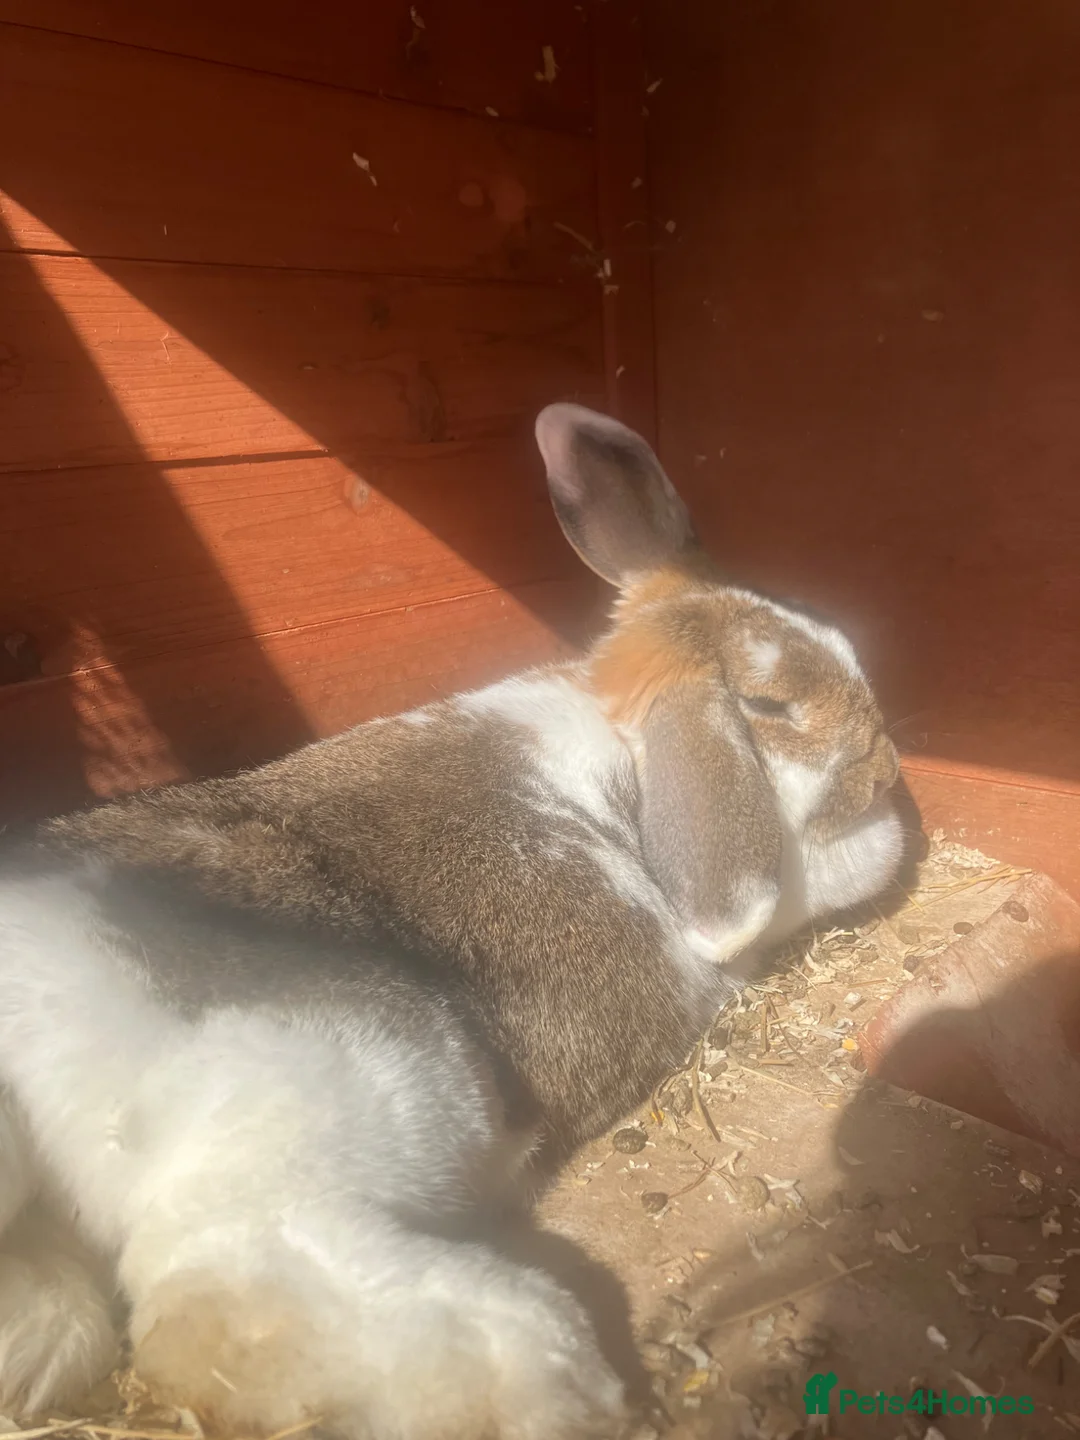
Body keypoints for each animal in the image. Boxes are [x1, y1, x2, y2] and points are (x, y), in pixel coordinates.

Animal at [0, 403, 905, 1437]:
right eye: (767, 701)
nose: (888, 766)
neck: (630, 750)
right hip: (361, 1068)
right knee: (217, 1284)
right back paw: (549, 1380)